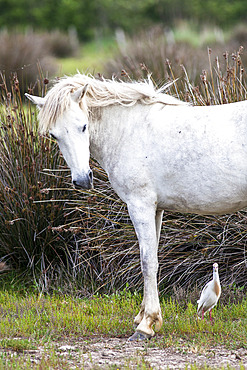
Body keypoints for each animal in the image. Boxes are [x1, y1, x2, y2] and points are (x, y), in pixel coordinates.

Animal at [25, 75, 247, 342]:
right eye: (54, 135)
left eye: (83, 126)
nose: (82, 179)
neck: (129, 131)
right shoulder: (156, 209)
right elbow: (151, 258)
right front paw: (144, 316)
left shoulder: (139, 205)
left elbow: (147, 261)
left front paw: (146, 325)